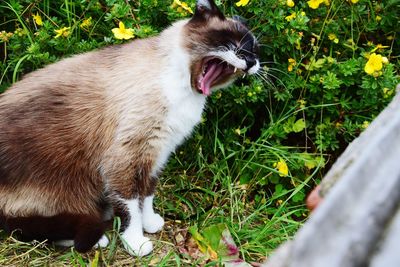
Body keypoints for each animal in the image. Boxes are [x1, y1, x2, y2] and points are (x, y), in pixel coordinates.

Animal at [0, 0, 260, 256]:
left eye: (256, 51)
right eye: (234, 45)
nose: (251, 62)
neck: (184, 89)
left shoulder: (158, 152)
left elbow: (147, 194)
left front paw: (150, 223)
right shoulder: (126, 158)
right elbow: (131, 206)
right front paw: (136, 242)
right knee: (31, 227)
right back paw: (99, 239)